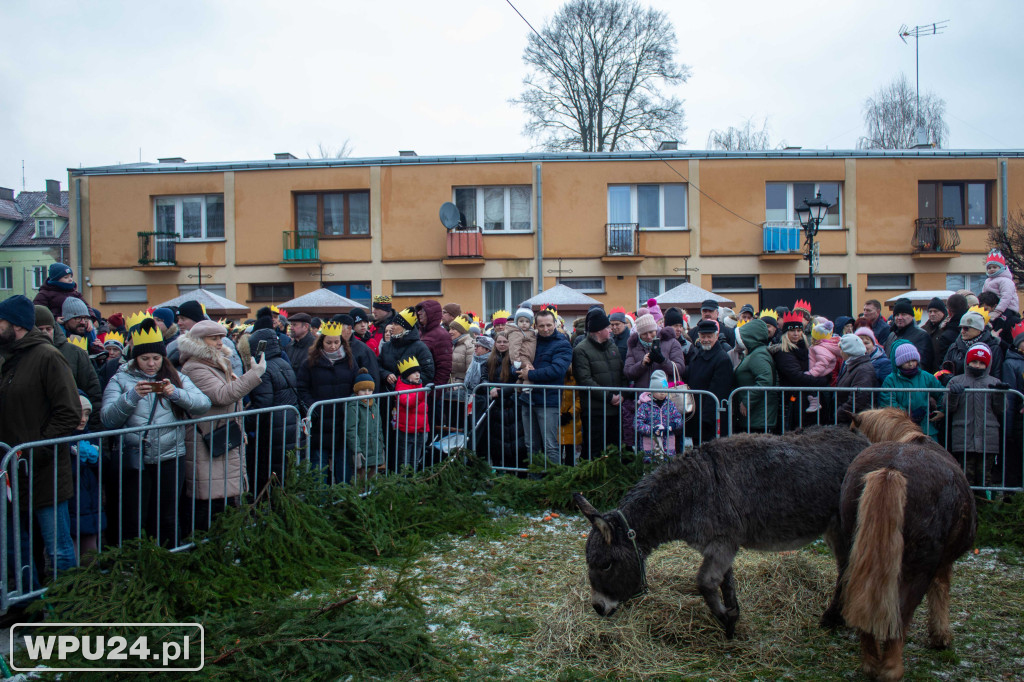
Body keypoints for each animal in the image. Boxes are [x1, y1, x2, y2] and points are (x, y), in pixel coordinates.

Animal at [843, 409, 978, 679]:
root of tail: (891, 470)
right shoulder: (942, 562)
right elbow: (941, 590)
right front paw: (941, 637)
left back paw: (871, 663)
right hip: (916, 571)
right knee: (900, 616)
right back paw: (891, 669)